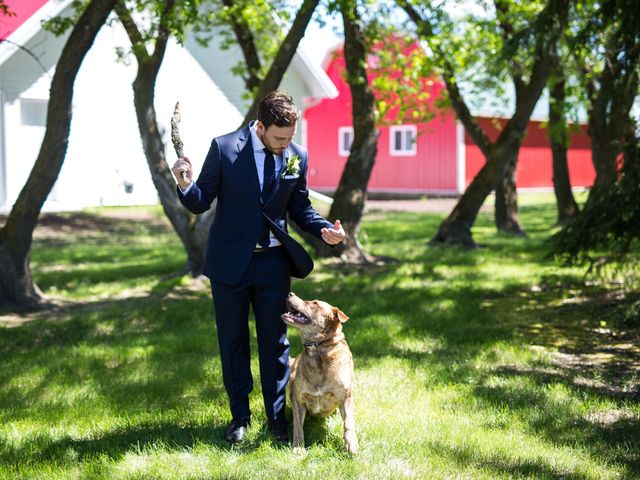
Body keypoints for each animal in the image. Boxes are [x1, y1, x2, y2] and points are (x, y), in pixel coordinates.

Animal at [282, 292, 358, 454]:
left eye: (315, 303)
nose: (290, 293)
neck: (318, 348)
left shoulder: (345, 397)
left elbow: (349, 422)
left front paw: (351, 444)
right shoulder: (298, 399)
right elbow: (298, 426)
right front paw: (298, 447)